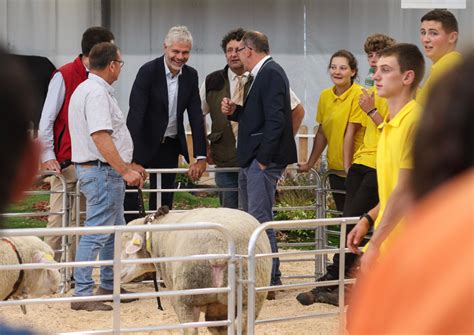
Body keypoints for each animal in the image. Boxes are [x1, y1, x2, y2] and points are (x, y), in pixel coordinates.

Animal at [120, 207, 272, 335]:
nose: (119, 275)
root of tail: (218, 247)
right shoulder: (218, 308)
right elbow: (218, 328)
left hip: (187, 296)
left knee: (190, 330)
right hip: (251, 298)